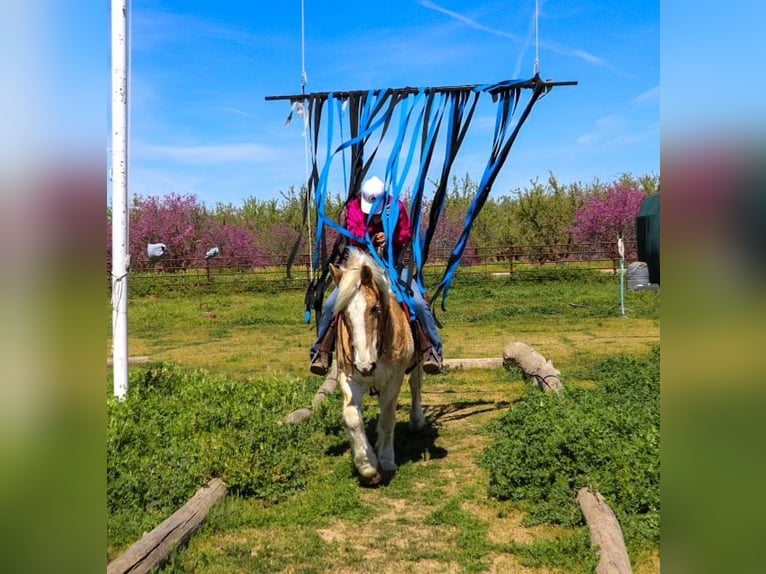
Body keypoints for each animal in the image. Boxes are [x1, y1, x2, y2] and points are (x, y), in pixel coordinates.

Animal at [332, 250, 428, 488]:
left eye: (375, 308)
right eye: (344, 313)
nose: (365, 366)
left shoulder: (393, 379)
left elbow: (387, 417)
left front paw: (385, 460)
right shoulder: (349, 377)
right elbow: (352, 416)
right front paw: (367, 466)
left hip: (418, 363)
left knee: (416, 385)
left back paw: (417, 420)